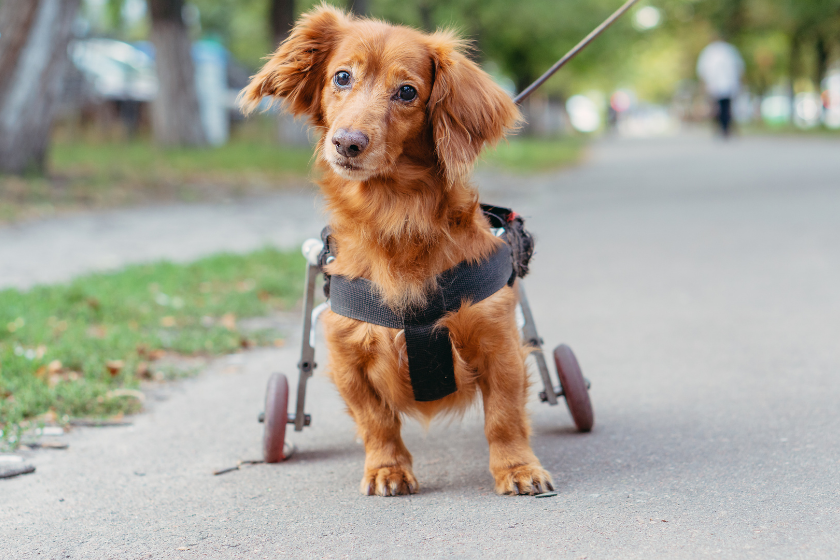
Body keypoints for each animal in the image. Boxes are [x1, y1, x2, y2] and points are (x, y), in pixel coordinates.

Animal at [240, 3, 556, 494]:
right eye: (341, 77)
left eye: (407, 91)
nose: (346, 142)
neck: (397, 218)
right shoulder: (346, 353)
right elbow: (376, 420)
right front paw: (387, 468)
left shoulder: (498, 343)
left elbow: (503, 417)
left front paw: (517, 468)